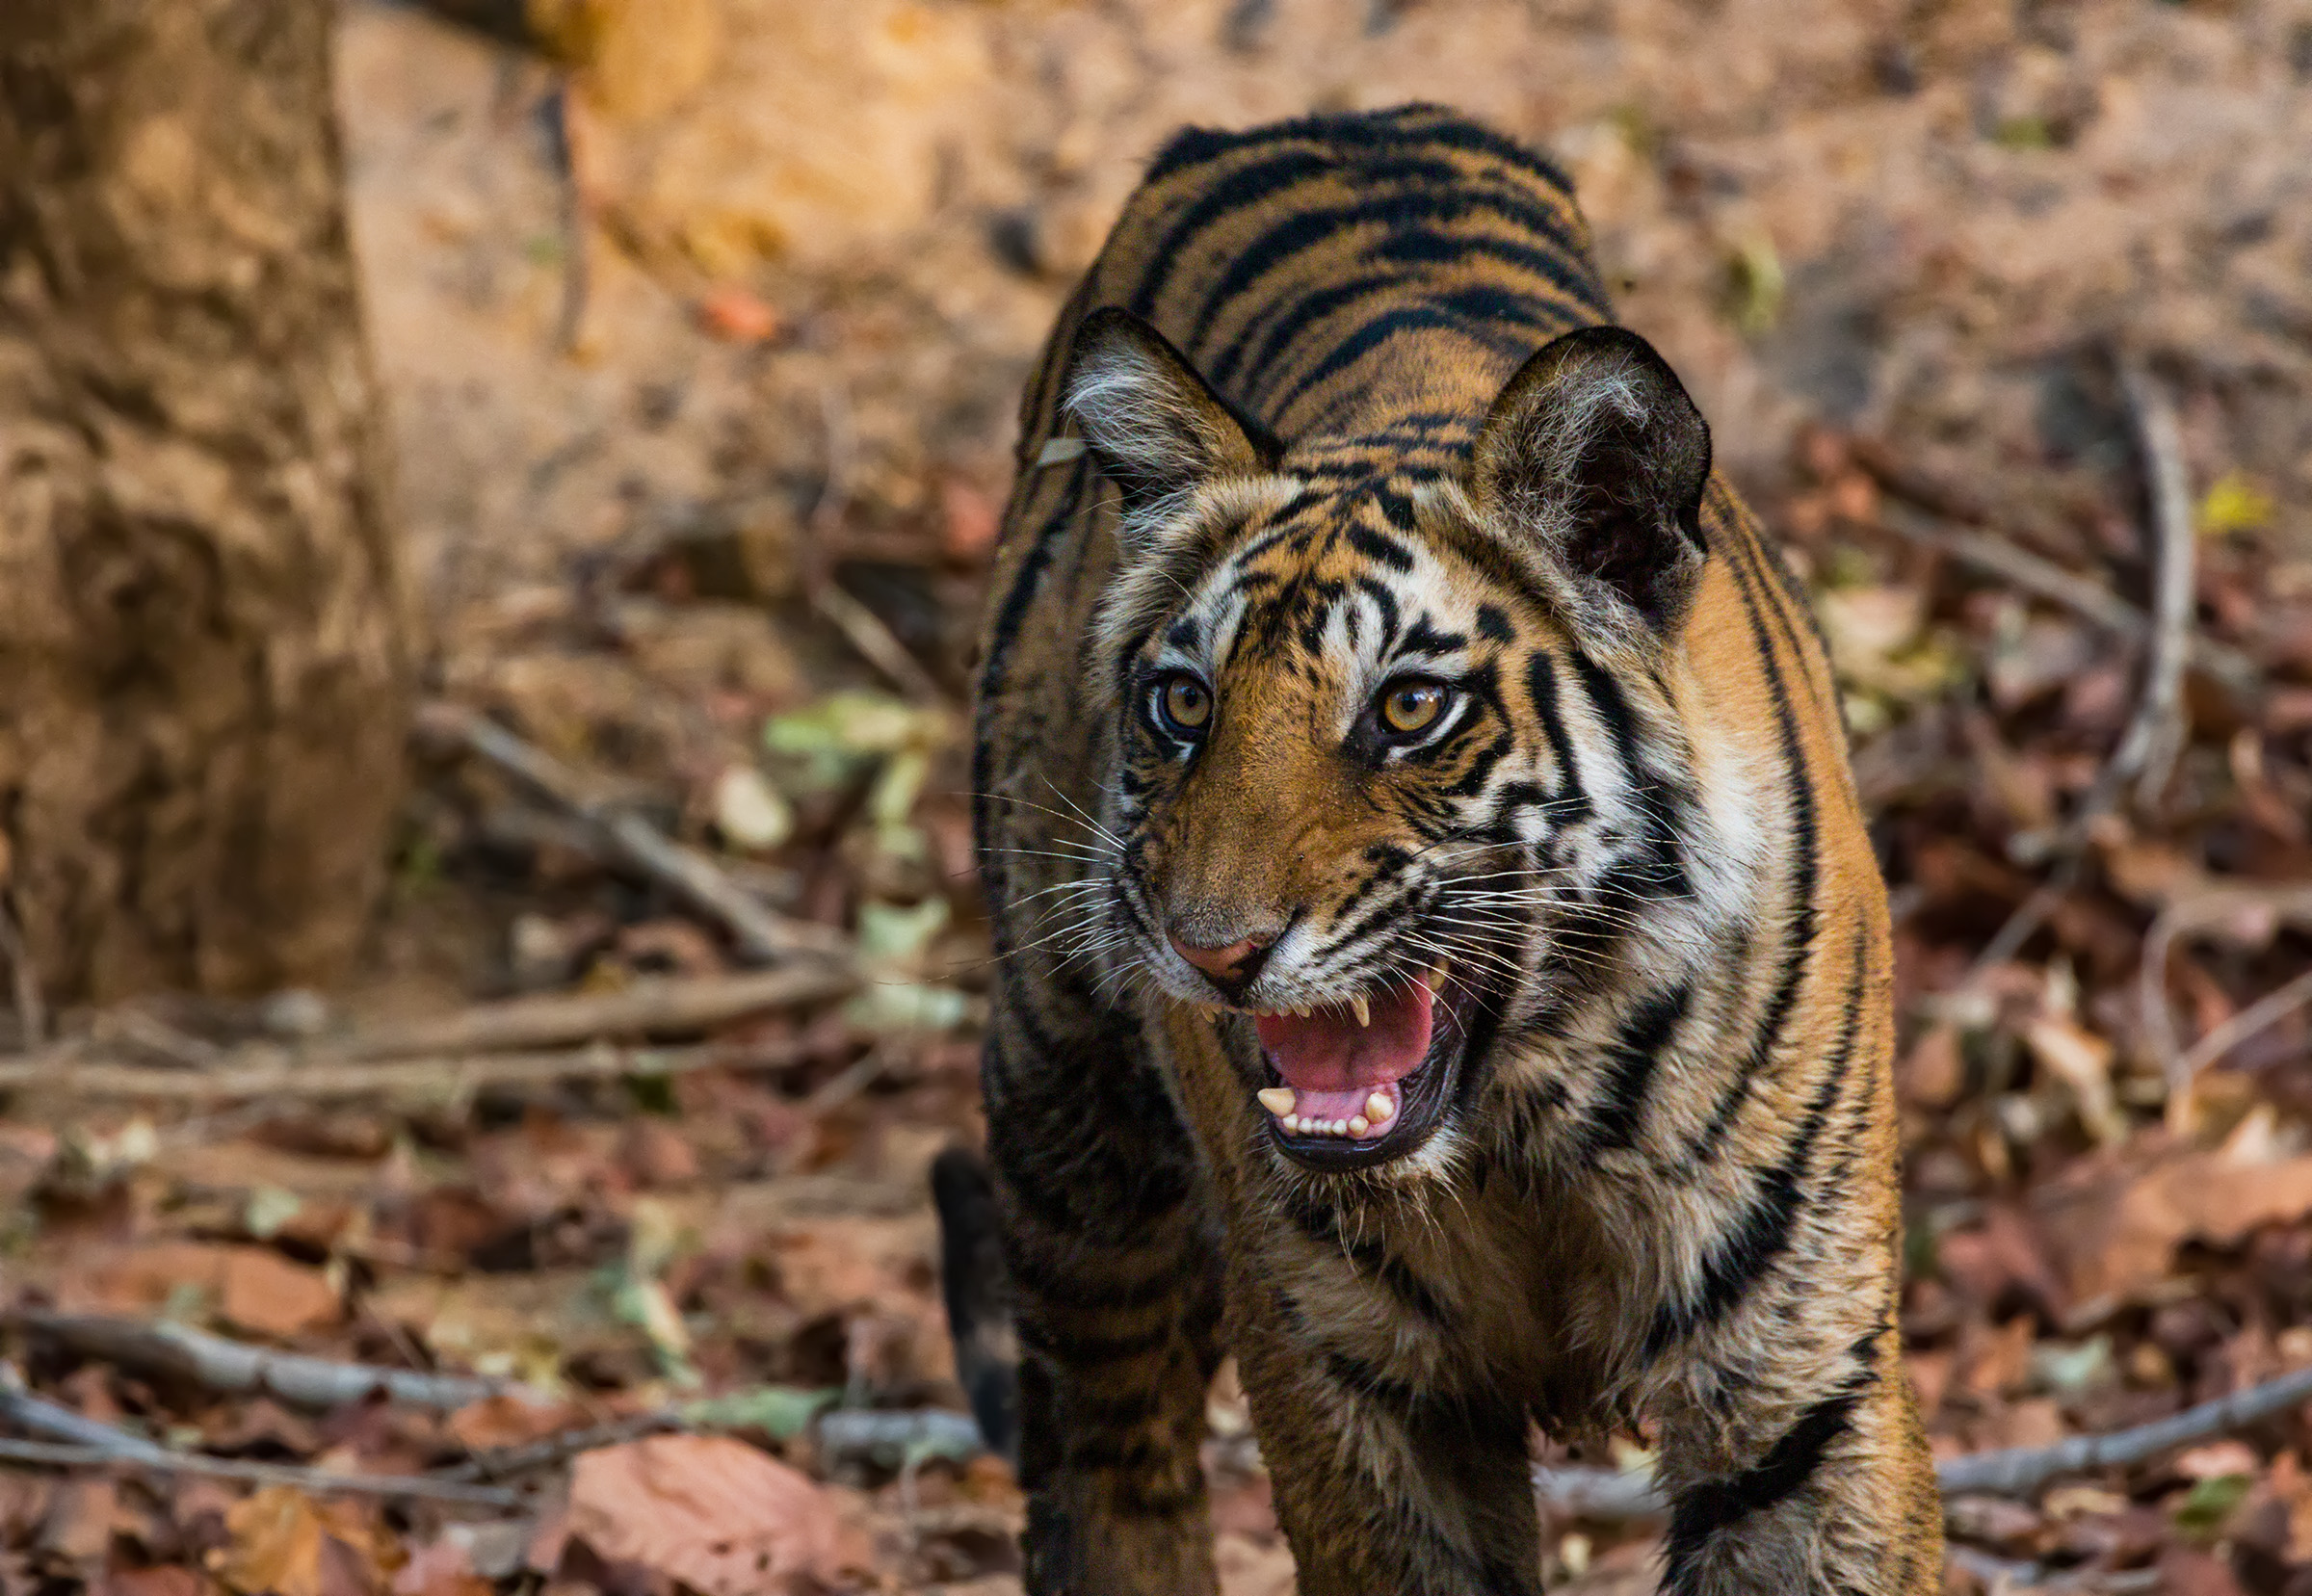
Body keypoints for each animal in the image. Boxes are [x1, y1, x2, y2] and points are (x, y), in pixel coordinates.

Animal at [943, 104, 1942, 1594]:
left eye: (1410, 709)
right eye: (1184, 704)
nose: (1211, 953)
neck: (1535, 1119)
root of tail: (1317, 117)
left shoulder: (1794, 1381)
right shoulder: (1348, 1373)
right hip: (1067, 1090)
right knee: (1106, 1436)